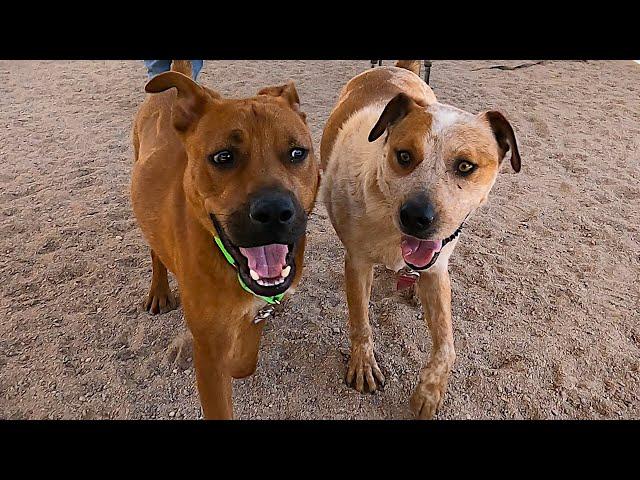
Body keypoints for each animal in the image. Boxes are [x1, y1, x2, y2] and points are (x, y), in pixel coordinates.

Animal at [131, 62, 320, 418]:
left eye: (297, 153)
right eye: (223, 157)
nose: (274, 212)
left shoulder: (257, 310)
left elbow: (245, 357)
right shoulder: (209, 355)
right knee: (154, 252)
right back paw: (159, 290)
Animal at [320, 62, 520, 418]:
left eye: (466, 166)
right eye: (403, 156)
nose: (415, 217)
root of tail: (391, 69)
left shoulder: (437, 269)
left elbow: (447, 345)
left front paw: (430, 392)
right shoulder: (357, 264)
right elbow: (360, 321)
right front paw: (363, 364)